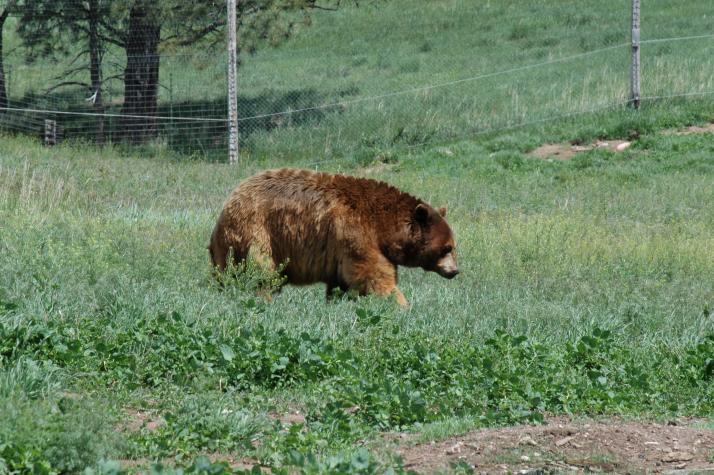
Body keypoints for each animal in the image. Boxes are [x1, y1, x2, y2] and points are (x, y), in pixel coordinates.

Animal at [209, 169, 458, 306]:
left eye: (454, 246)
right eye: (446, 248)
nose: (455, 271)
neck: (383, 227)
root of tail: (227, 204)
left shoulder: (339, 252)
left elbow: (341, 283)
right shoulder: (355, 232)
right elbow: (374, 273)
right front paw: (401, 304)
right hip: (258, 232)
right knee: (261, 272)